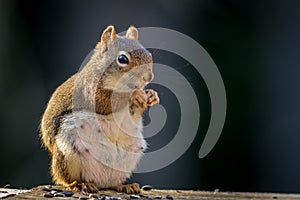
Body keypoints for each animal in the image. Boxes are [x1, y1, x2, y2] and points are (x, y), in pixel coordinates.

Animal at [41, 24, 161, 194]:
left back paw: (125, 186)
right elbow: (105, 103)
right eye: (122, 59)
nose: (148, 77)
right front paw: (134, 94)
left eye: (149, 55)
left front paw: (151, 95)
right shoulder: (89, 90)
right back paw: (81, 184)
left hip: (131, 153)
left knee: (113, 183)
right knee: (68, 179)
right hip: (68, 151)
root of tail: (99, 181)